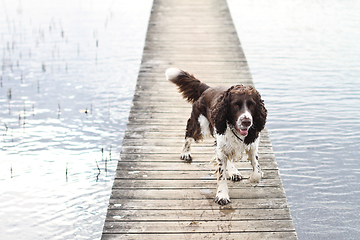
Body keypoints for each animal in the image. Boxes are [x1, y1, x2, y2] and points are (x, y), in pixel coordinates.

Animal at [167, 68, 268, 205]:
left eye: (252, 105)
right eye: (235, 105)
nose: (247, 121)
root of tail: (207, 89)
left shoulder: (252, 145)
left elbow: (257, 170)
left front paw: (252, 178)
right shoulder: (221, 146)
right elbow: (221, 175)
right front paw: (222, 195)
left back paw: (233, 171)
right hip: (201, 124)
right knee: (188, 134)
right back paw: (185, 153)